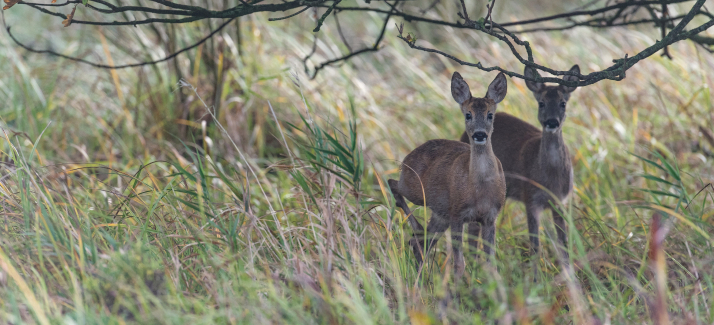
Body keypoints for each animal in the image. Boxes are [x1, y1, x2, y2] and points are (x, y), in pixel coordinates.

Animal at [386, 71, 508, 276]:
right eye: (468, 115)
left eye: (490, 115)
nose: (480, 134)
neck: (479, 189)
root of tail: (408, 156)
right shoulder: (457, 214)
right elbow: (459, 263)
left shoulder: (490, 217)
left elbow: (491, 265)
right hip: (415, 189)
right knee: (392, 182)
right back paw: (417, 229)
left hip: (440, 214)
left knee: (421, 243)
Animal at [462, 64, 580, 276]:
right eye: (541, 103)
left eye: (563, 103)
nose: (552, 122)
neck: (550, 178)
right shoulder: (530, 199)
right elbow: (535, 245)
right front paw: (535, 279)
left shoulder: (561, 201)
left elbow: (563, 244)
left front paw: (569, 276)